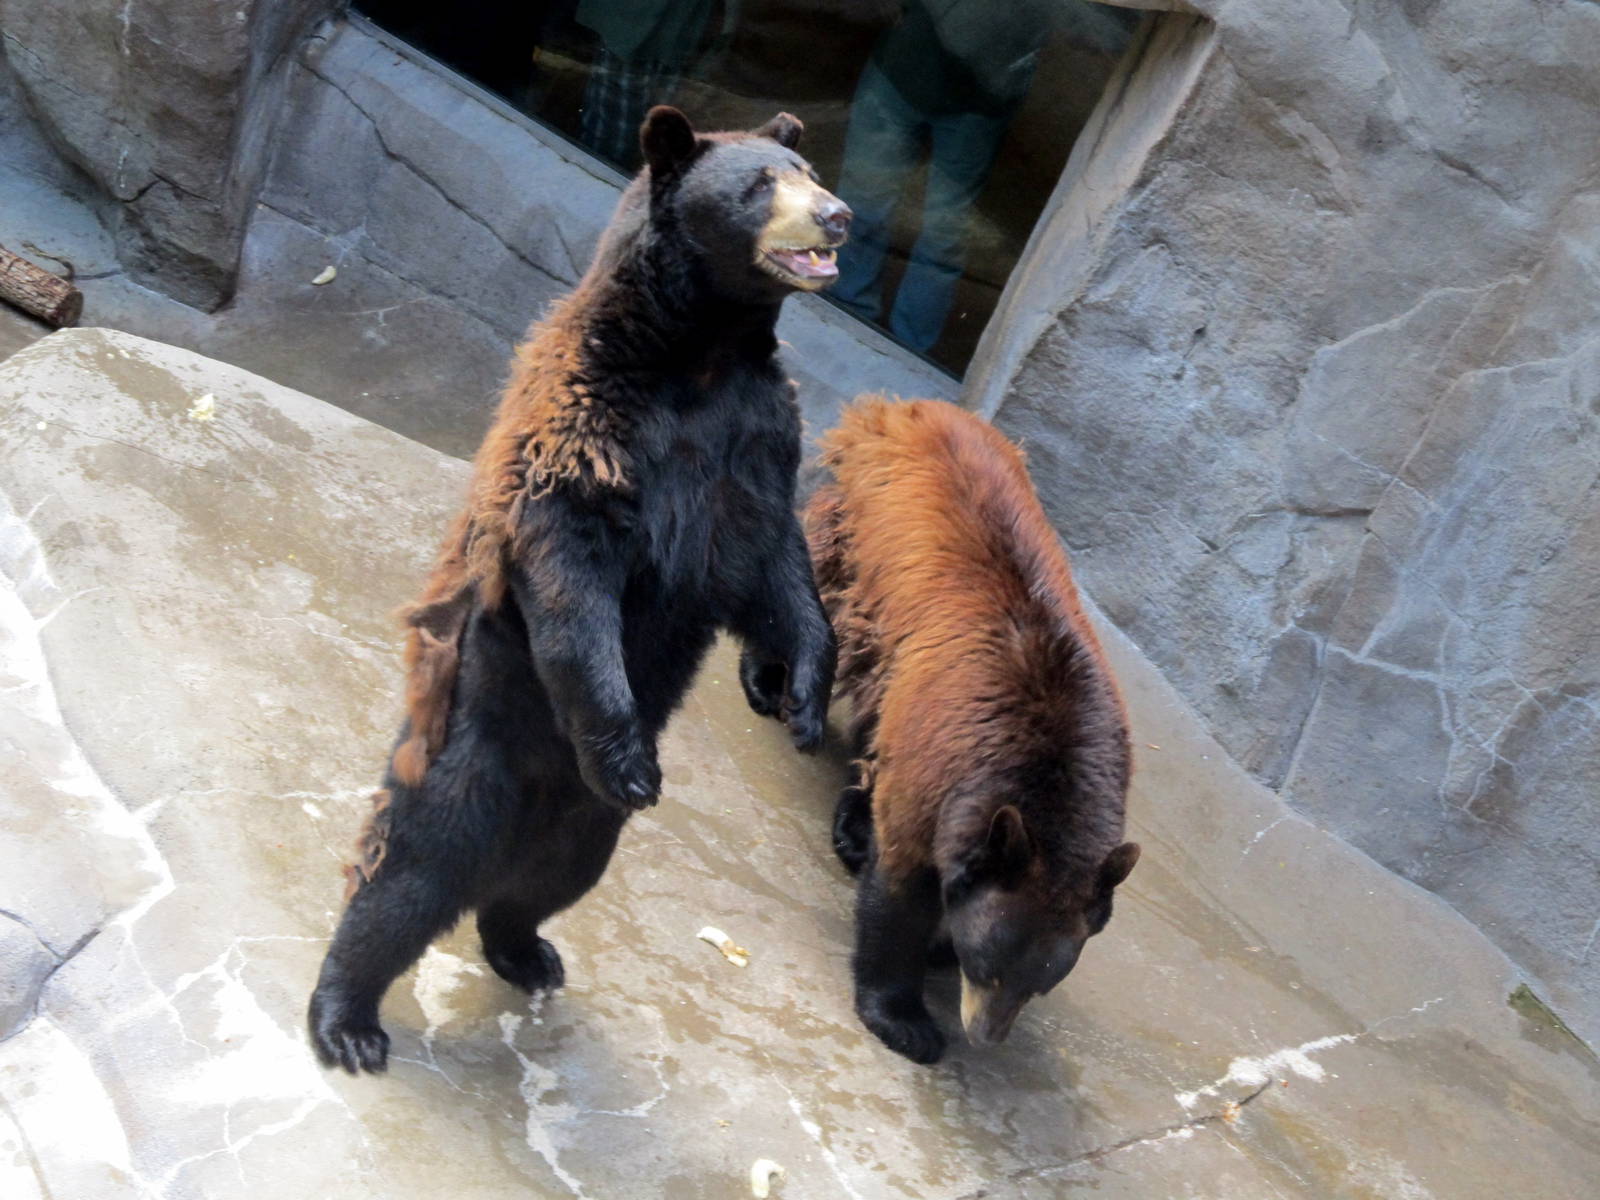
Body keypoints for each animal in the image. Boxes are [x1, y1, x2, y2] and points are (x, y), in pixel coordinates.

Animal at [307, 106, 848, 1075]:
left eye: (810, 170)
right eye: (760, 185)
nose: (838, 217)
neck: (699, 352)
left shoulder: (752, 438)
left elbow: (775, 562)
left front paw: (798, 695)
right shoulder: (589, 427)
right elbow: (575, 583)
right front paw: (630, 753)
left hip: (586, 835)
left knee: (543, 887)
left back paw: (528, 950)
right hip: (464, 759)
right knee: (404, 879)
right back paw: (348, 1019)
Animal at [800, 396, 1139, 1064]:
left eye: (1040, 983)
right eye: (990, 967)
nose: (986, 1036)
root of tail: (925, 406)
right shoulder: (939, 767)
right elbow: (901, 890)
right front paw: (905, 1020)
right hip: (859, 544)